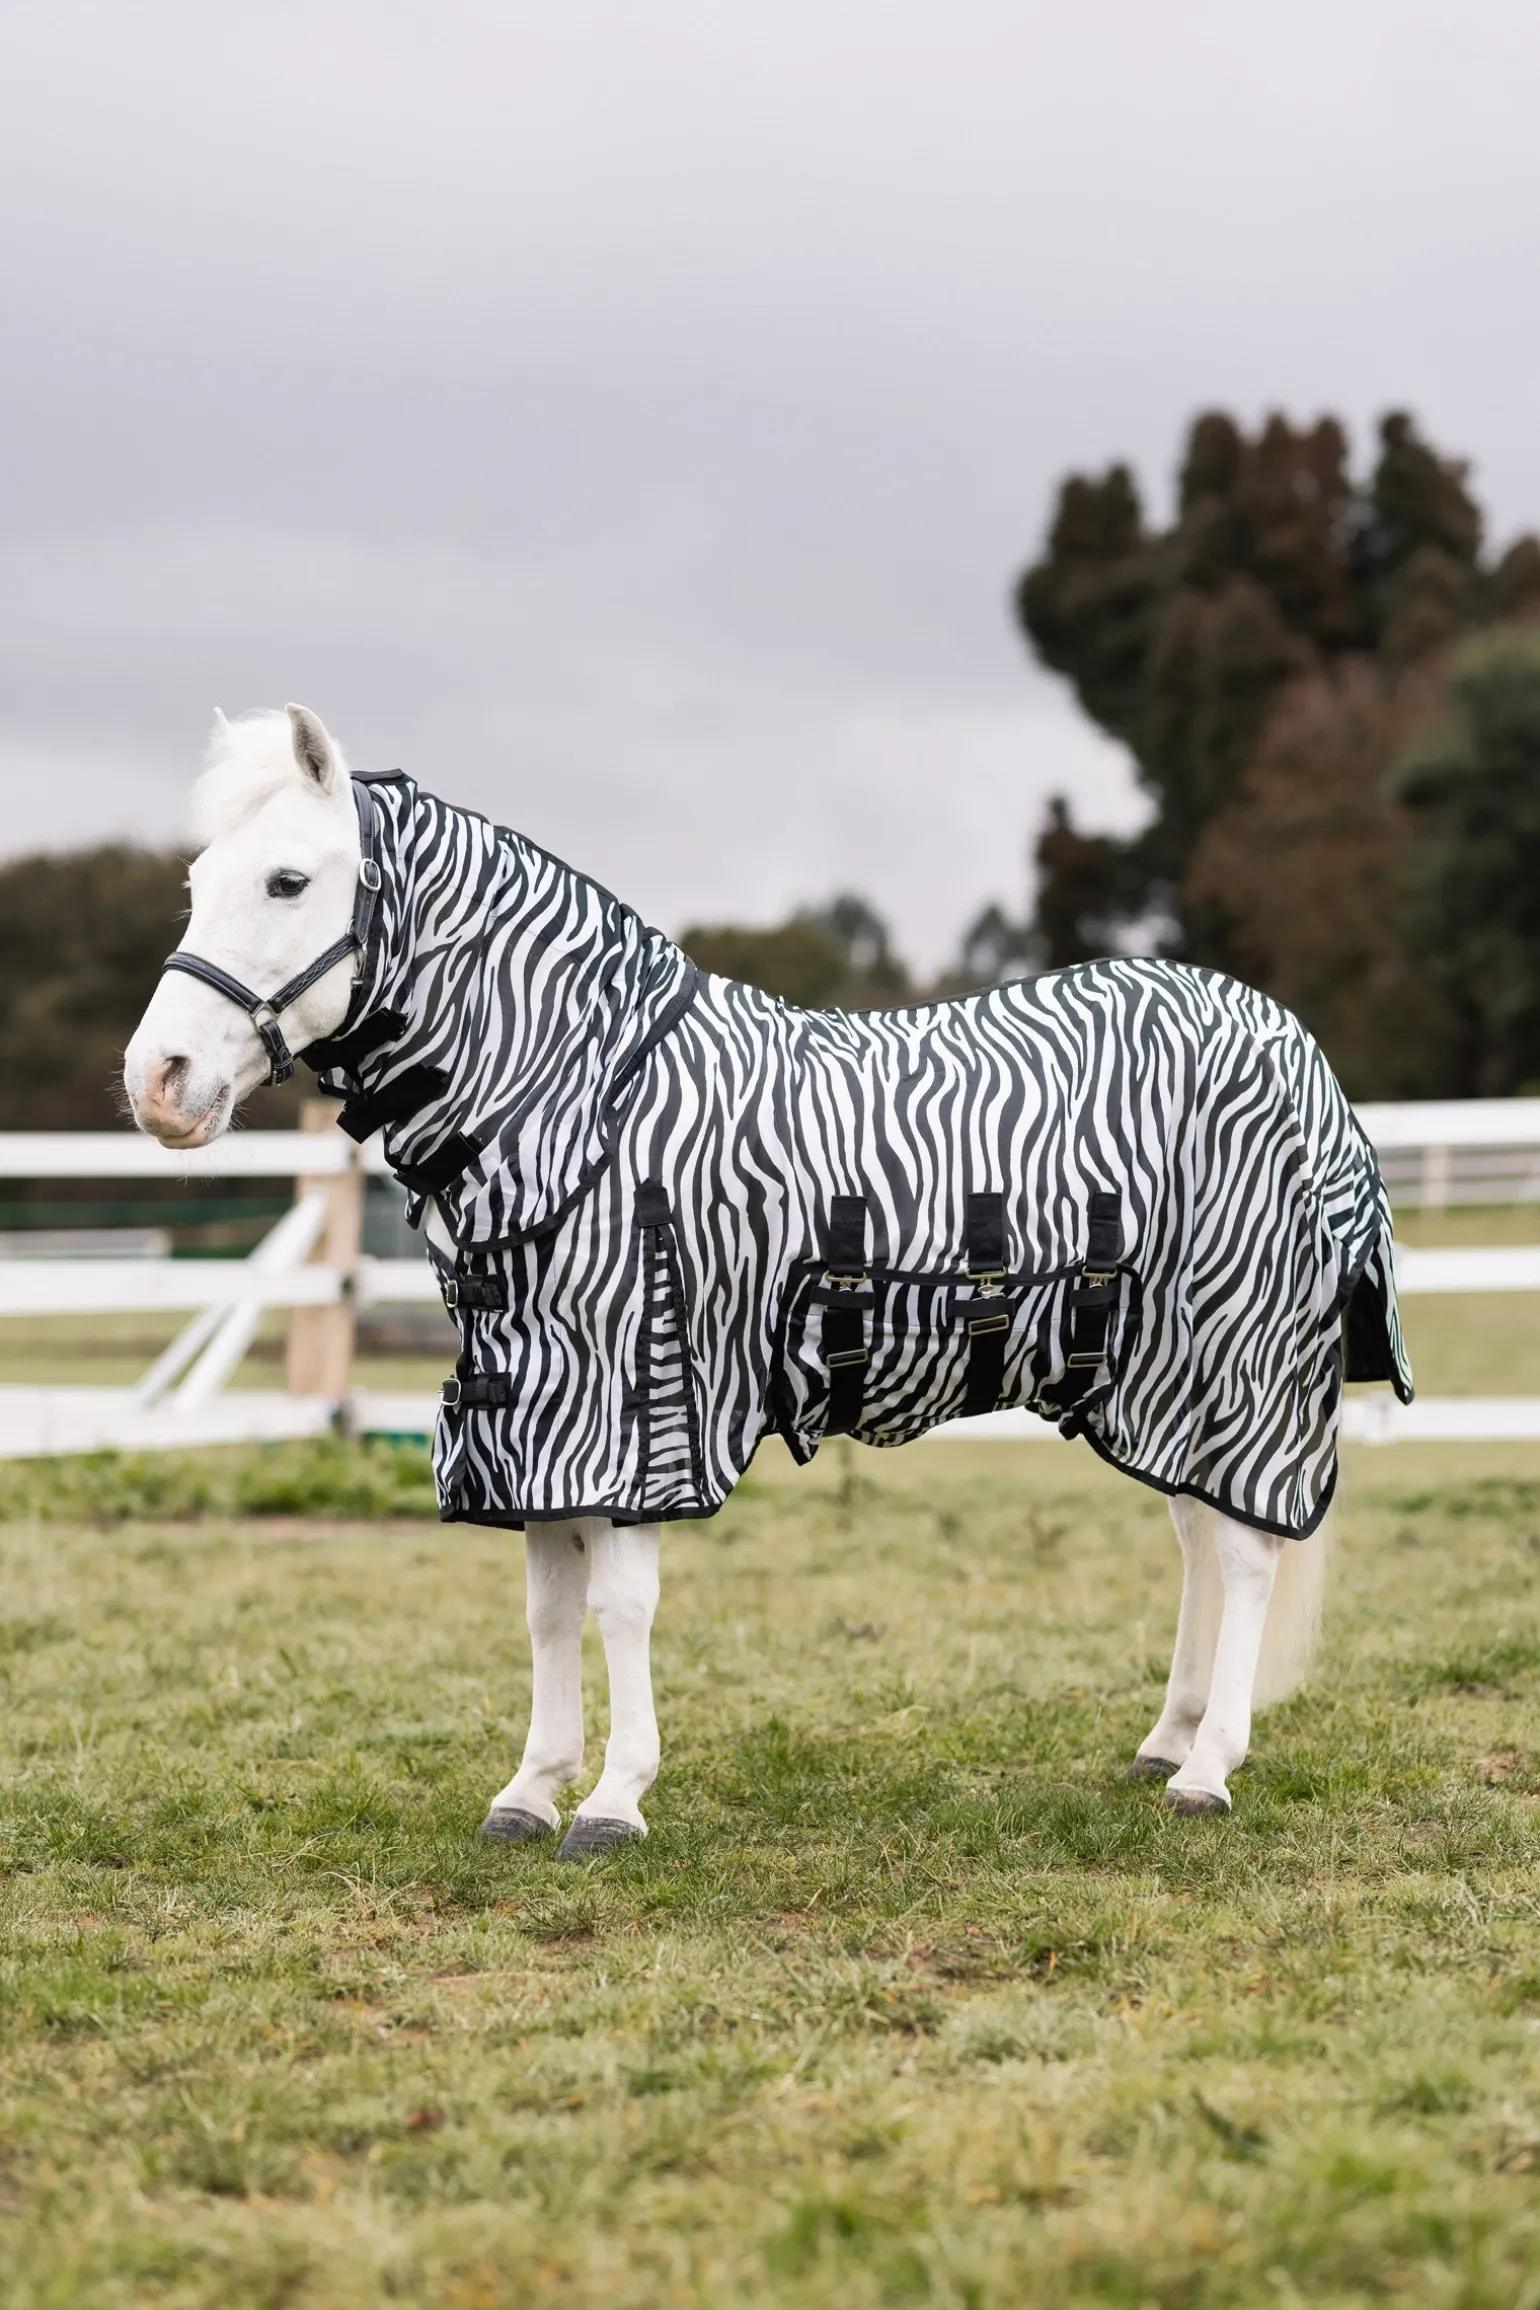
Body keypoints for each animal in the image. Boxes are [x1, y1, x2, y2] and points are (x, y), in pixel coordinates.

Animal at [124, 704, 1412, 1857]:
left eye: (288, 882)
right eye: (198, 882)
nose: (156, 1081)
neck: (585, 1106)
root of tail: (1293, 1047)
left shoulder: (637, 1393)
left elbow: (618, 1605)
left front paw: (612, 1801)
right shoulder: (533, 1404)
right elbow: (546, 1607)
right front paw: (529, 1792)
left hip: (1236, 1356)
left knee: (1243, 1553)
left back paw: (1206, 1771)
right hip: (1156, 1374)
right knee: (1199, 1536)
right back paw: (1166, 1740)